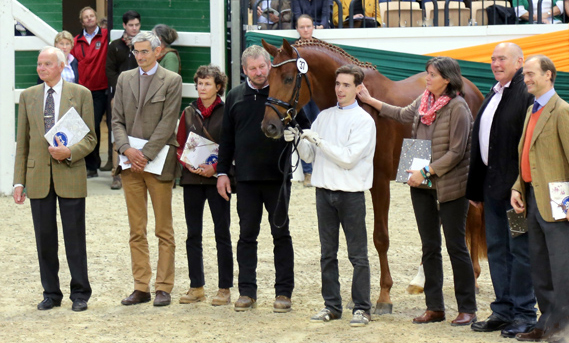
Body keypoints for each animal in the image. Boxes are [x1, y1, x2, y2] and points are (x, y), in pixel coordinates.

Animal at [260, 37, 486, 314]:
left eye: (289, 78)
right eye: (269, 78)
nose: (269, 126)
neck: (361, 106)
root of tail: (472, 89)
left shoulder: (379, 182)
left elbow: (380, 238)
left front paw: (383, 296)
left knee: (472, 217)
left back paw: (473, 277)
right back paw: (421, 281)